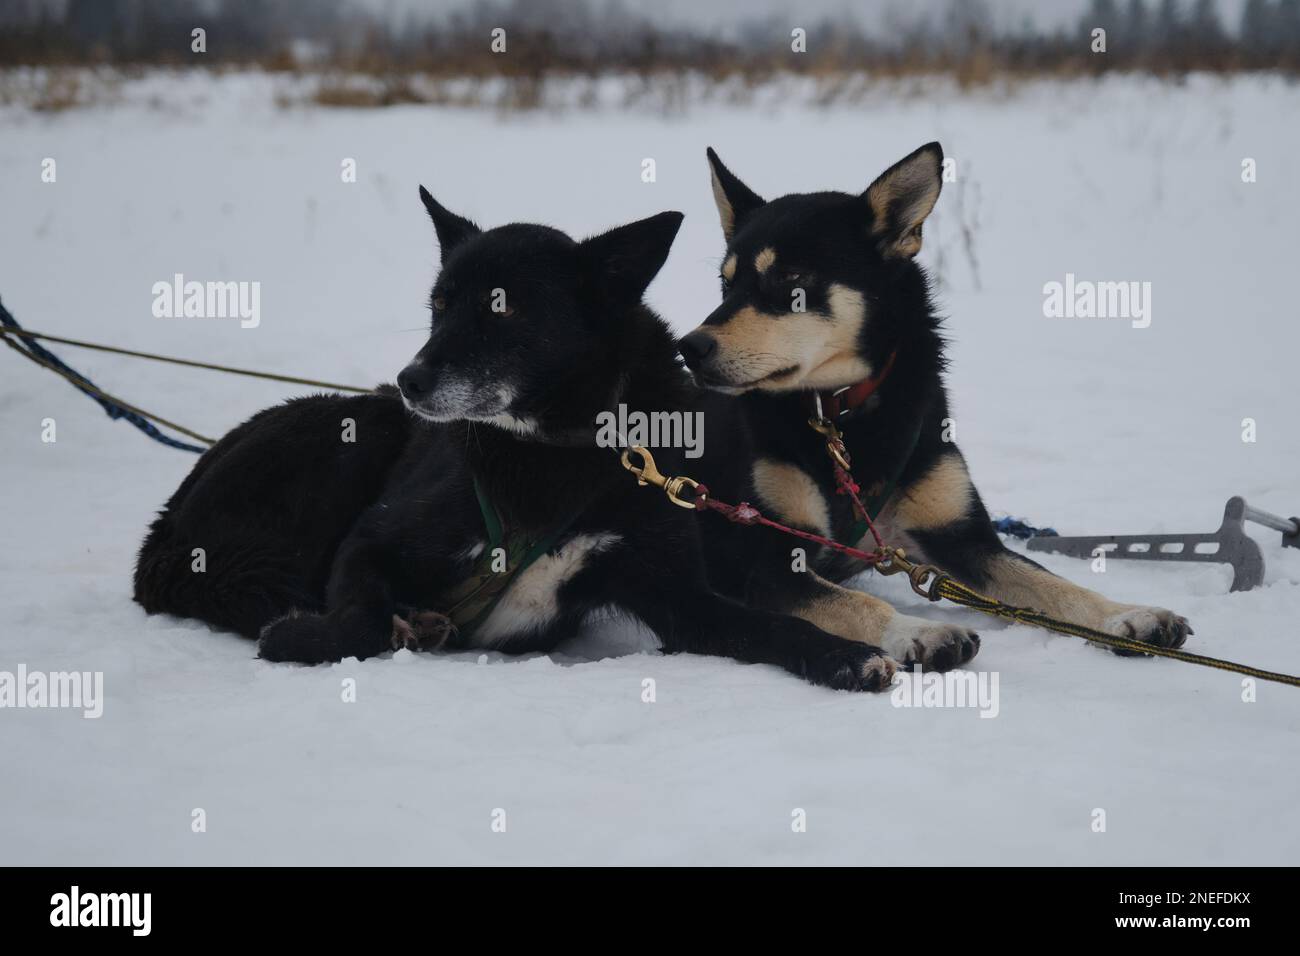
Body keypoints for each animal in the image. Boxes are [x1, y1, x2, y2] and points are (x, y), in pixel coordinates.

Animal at [137, 188, 899, 697]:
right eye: (439, 305)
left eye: (502, 309)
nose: (410, 379)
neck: (554, 452)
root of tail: (165, 530)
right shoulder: (369, 543)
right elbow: (359, 620)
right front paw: (304, 636)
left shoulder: (674, 595)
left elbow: (771, 627)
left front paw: (845, 655)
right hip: (361, 432)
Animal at [676, 143, 1190, 671]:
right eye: (726, 284)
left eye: (790, 278)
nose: (690, 347)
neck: (838, 415)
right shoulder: (767, 561)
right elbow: (857, 603)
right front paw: (916, 630)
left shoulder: (961, 537)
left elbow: (1056, 586)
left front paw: (1126, 616)